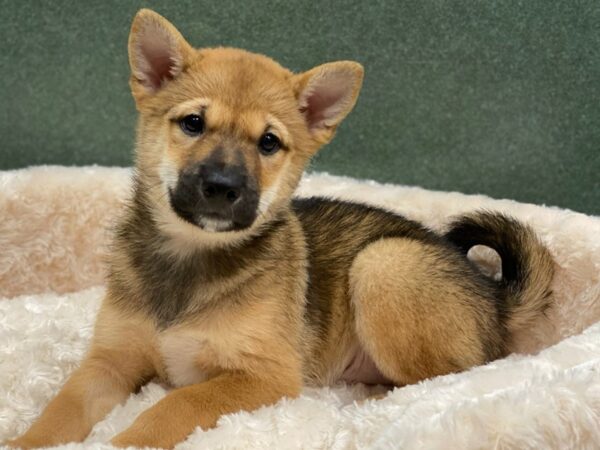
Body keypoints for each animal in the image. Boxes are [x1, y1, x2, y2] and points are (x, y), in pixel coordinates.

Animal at [7, 7, 556, 450]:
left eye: (268, 142)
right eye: (192, 123)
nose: (222, 186)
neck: (191, 258)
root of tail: (493, 295)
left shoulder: (261, 377)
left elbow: (172, 406)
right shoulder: (108, 361)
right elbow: (61, 409)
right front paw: (25, 440)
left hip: (384, 264)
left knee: (438, 381)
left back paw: (363, 402)